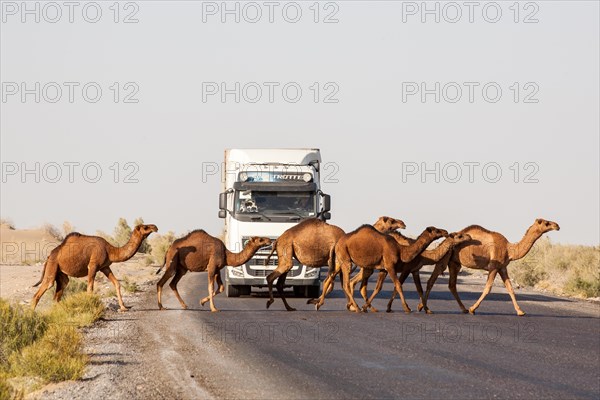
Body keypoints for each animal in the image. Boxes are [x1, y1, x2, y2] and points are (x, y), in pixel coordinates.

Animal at [264, 217, 406, 310]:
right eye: (391, 221)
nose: (403, 223)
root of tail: (277, 240)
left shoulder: (337, 263)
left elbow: (336, 283)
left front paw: (316, 301)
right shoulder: (338, 262)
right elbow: (337, 283)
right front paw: (351, 306)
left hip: (287, 256)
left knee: (280, 283)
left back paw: (289, 307)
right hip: (286, 252)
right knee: (271, 277)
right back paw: (270, 302)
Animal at [312, 225, 448, 312]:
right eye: (436, 230)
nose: (445, 232)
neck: (401, 250)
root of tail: (337, 243)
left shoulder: (384, 269)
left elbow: (378, 288)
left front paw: (366, 307)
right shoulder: (390, 266)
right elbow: (398, 285)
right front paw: (407, 308)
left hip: (349, 261)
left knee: (344, 281)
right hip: (345, 258)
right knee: (346, 283)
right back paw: (355, 307)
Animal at [346, 231, 474, 312]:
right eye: (459, 236)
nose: (469, 236)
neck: (423, 256)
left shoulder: (415, 271)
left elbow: (419, 289)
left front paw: (426, 309)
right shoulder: (406, 269)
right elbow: (397, 286)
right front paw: (392, 307)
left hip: (369, 267)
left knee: (354, 282)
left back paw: (355, 306)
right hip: (370, 266)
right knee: (355, 282)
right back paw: (357, 306)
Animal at [422, 219, 556, 316]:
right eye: (546, 223)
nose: (557, 225)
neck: (509, 249)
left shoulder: (502, 268)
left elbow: (510, 288)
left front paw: (520, 311)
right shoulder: (494, 267)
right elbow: (488, 288)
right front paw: (472, 309)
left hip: (454, 263)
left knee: (451, 285)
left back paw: (462, 309)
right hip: (445, 258)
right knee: (432, 279)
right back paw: (424, 307)